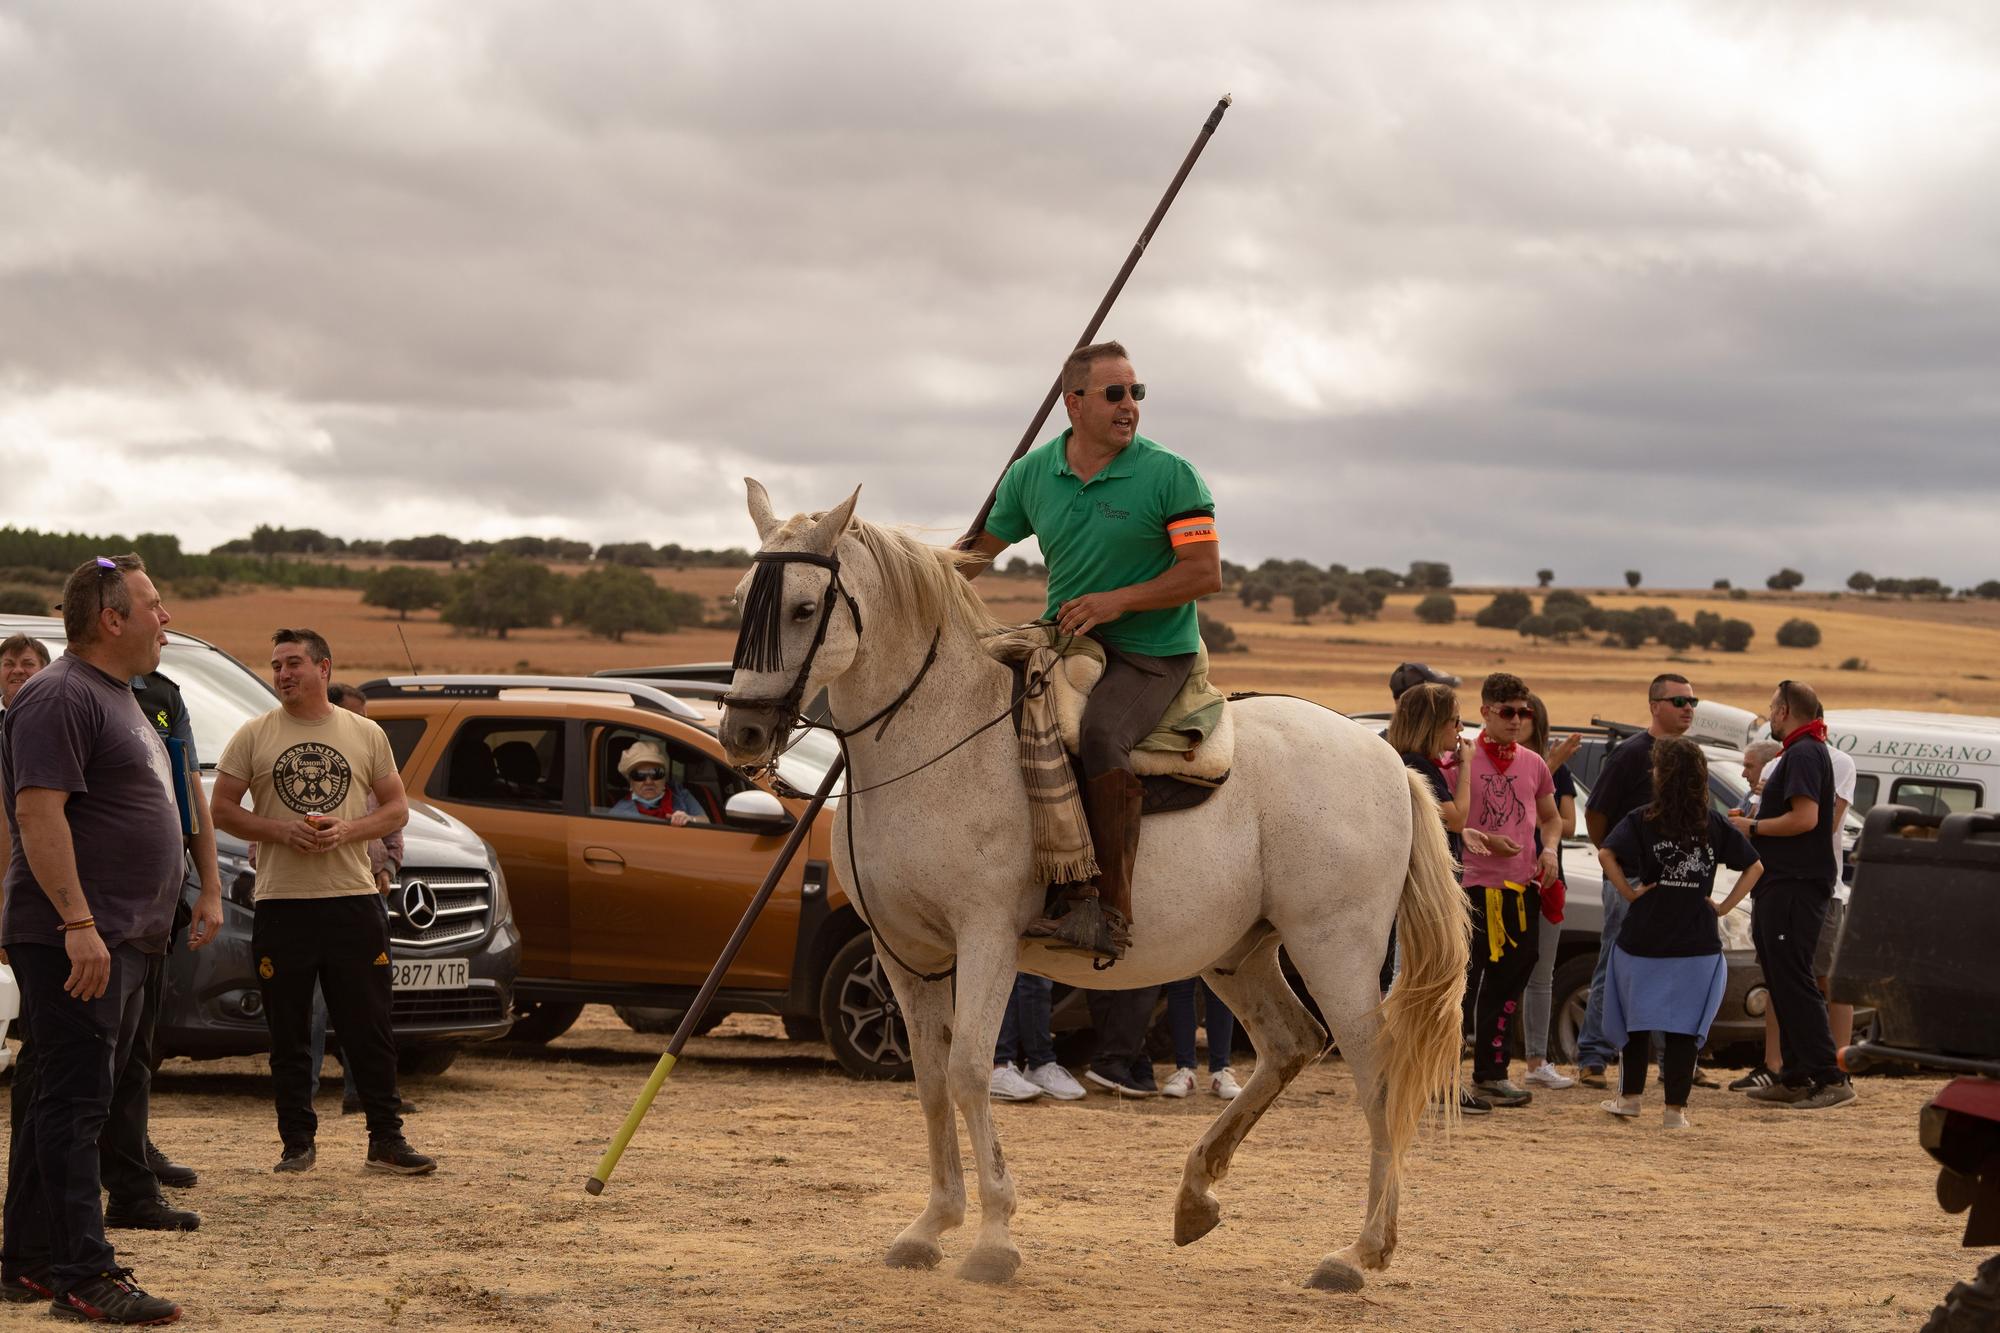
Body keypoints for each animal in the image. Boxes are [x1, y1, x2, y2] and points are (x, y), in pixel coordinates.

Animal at [720, 482, 1472, 1288]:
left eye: (803, 608)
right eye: (742, 601)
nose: (742, 734)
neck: (932, 744)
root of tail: (1385, 757)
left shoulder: (985, 939)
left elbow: (966, 1071)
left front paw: (993, 1239)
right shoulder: (905, 955)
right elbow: (928, 1080)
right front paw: (930, 1226)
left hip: (1335, 945)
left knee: (1376, 1074)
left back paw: (1360, 1251)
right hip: (1239, 952)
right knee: (1290, 1042)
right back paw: (1196, 1196)